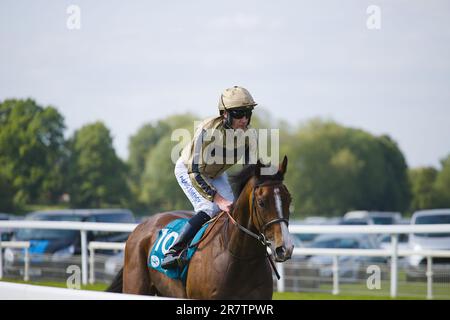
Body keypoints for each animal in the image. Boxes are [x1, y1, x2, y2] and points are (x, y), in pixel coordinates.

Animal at [107, 156, 294, 298]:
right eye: (262, 202)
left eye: (289, 199)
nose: (284, 248)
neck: (240, 257)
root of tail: (142, 225)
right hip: (135, 287)